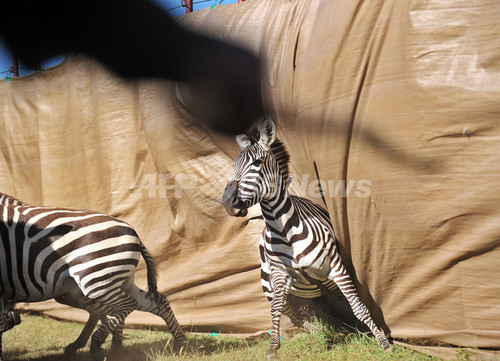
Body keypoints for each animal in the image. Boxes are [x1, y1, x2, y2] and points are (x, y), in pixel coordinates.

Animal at [0, 193, 187, 360]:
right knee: (155, 302)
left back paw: (97, 346)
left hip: (97, 279)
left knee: (125, 305)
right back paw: (178, 345)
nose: (15, 318)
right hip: (116, 281)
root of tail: (133, 232)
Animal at [222, 117, 390, 358]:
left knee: (331, 303)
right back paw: (320, 329)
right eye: (234, 166)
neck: (282, 228)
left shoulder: (337, 267)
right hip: (267, 284)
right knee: (294, 313)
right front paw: (273, 347)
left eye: (258, 162)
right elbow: (277, 310)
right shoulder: (279, 273)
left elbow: (358, 306)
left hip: (328, 284)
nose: (228, 203)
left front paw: (382, 341)